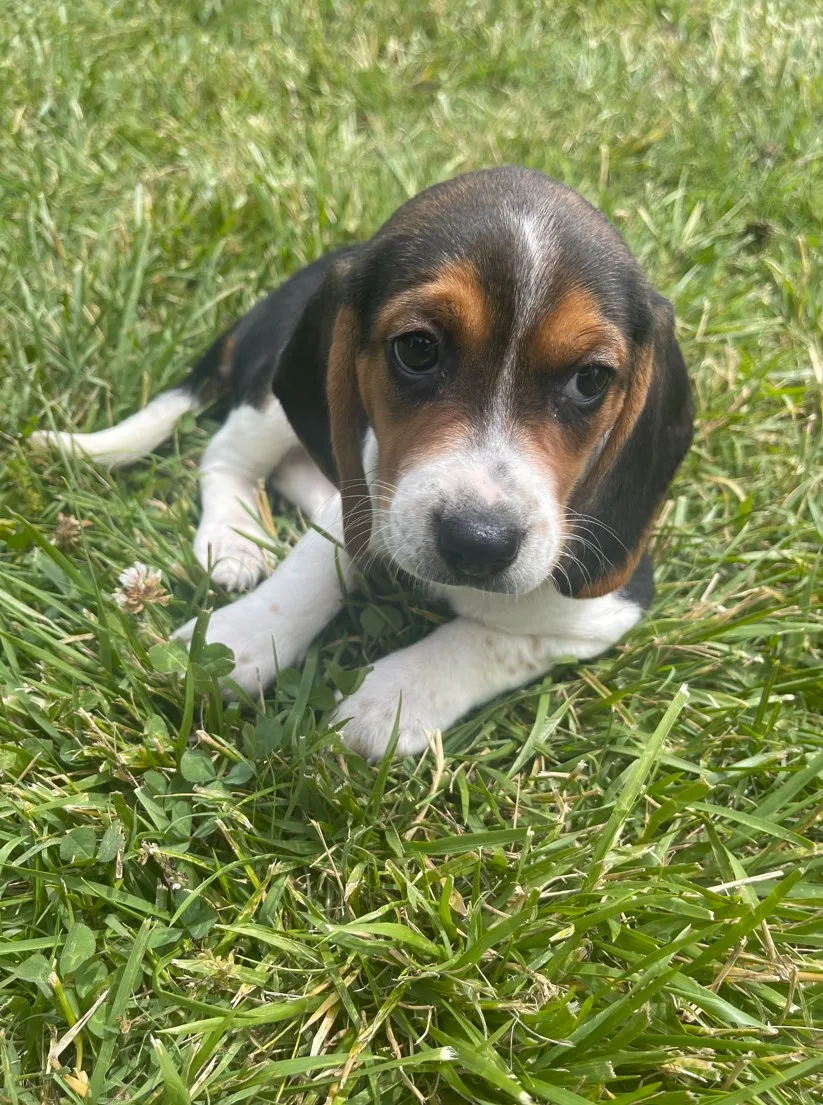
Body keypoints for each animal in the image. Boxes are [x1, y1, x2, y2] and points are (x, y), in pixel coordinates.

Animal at [35, 165, 698, 760]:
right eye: (417, 348)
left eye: (591, 381)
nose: (478, 544)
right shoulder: (370, 477)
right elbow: (317, 561)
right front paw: (240, 637)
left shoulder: (600, 613)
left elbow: (485, 640)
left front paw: (389, 701)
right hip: (278, 400)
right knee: (227, 455)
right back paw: (235, 538)